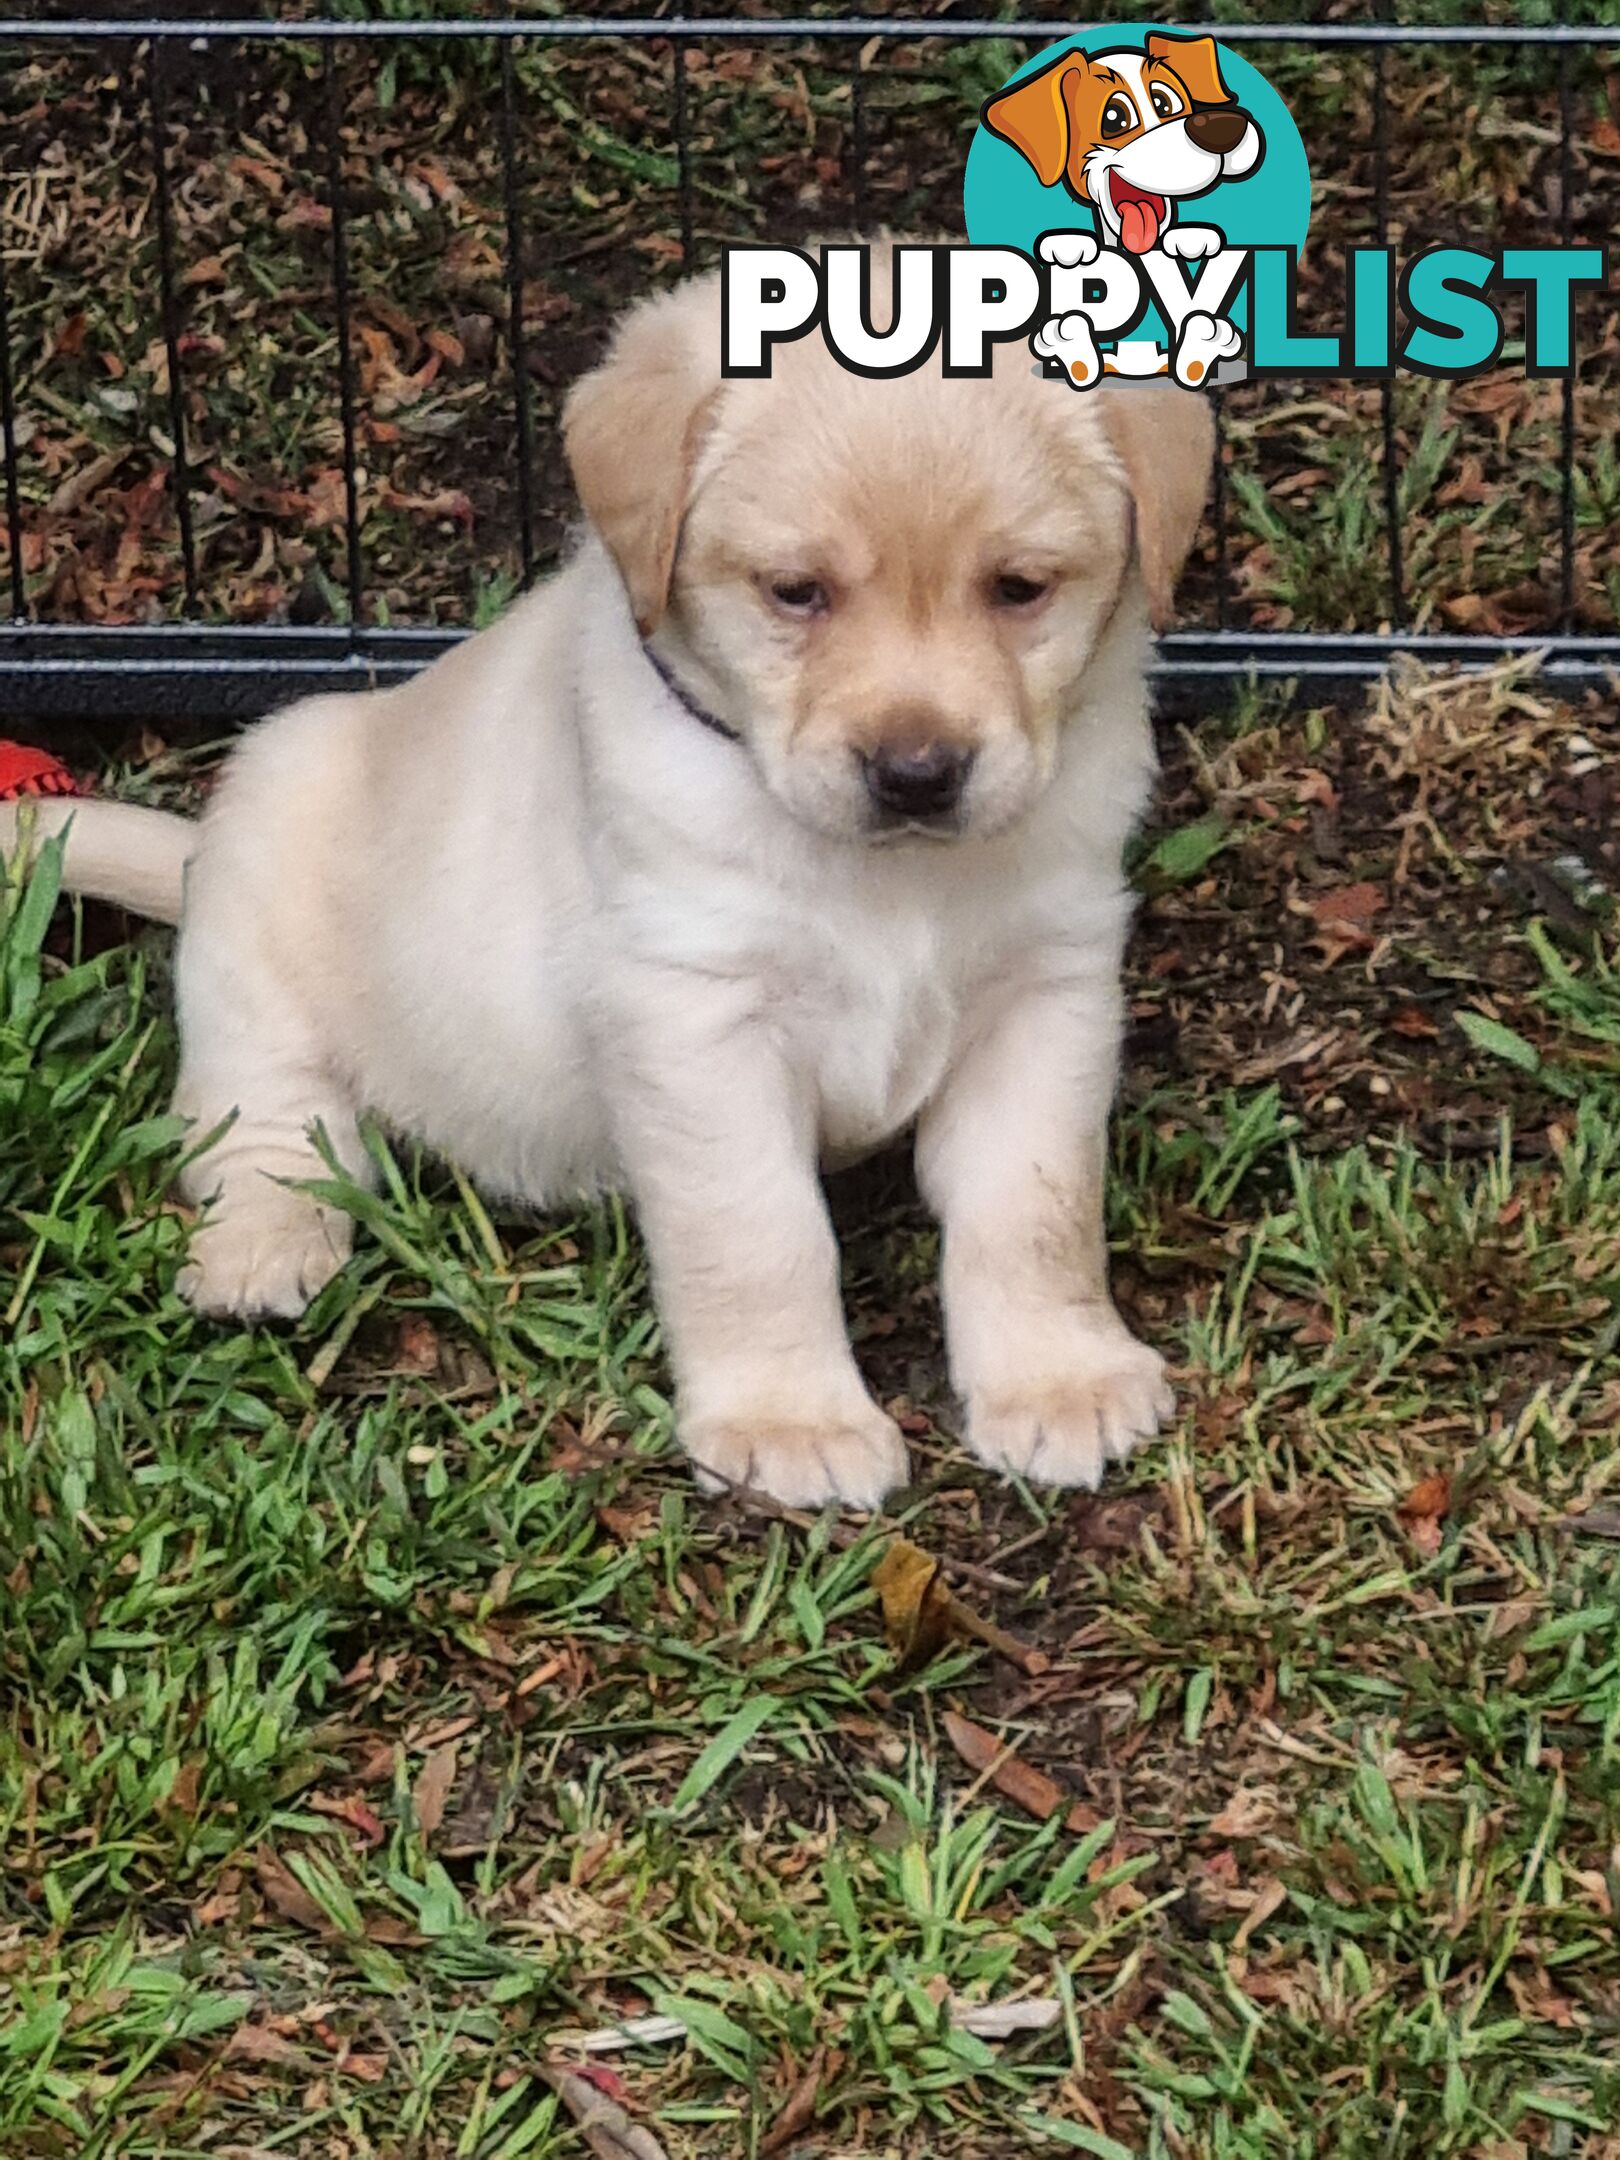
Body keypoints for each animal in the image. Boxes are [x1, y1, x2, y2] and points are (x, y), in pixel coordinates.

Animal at [6, 257, 1209, 1503]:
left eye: (1021, 588)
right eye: (795, 592)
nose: (917, 773)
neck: (885, 878)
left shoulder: (1047, 991)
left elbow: (1035, 1208)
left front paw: (1058, 1378)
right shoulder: (695, 1019)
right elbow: (759, 1232)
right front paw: (791, 1418)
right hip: (262, 890)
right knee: (259, 1118)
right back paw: (267, 1245)